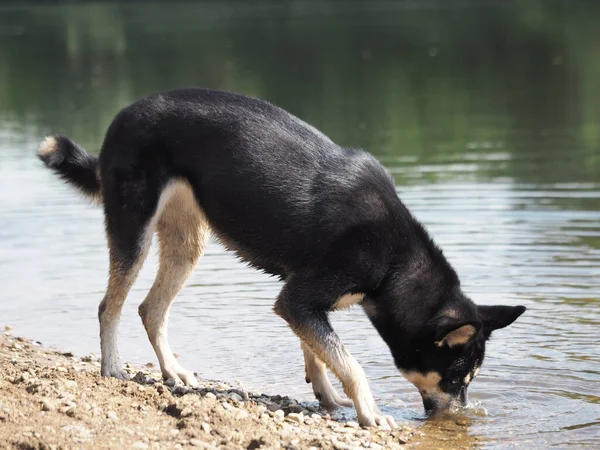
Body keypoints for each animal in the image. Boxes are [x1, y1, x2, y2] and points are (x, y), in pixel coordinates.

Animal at [37, 88, 524, 428]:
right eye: (456, 380)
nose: (463, 419)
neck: (396, 263)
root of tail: (121, 116)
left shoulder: (300, 299)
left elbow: (318, 353)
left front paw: (326, 397)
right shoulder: (298, 299)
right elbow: (350, 364)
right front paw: (369, 413)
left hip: (187, 244)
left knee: (150, 309)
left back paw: (174, 372)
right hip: (133, 232)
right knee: (111, 306)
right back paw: (112, 368)